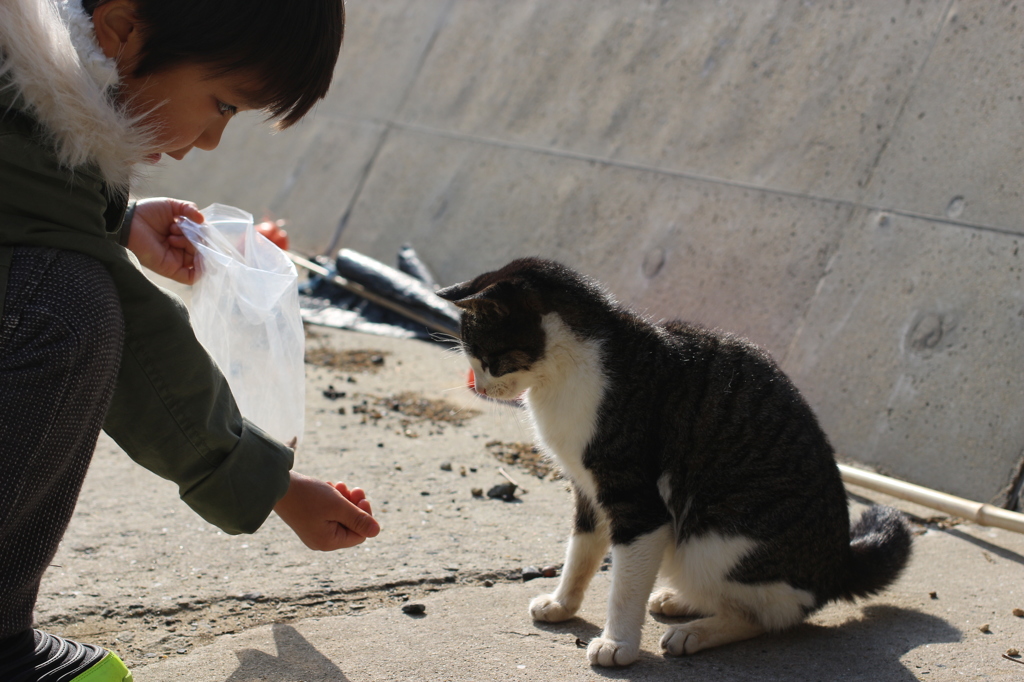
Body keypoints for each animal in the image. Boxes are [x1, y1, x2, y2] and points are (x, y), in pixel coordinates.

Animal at [436, 256, 917, 663]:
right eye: (475, 360)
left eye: (489, 358)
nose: (479, 386)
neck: (566, 372)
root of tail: (839, 564)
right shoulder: (589, 491)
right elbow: (581, 552)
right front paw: (561, 604)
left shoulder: (637, 503)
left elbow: (625, 586)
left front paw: (618, 644)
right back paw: (680, 600)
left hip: (712, 540)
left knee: (767, 616)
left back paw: (695, 632)